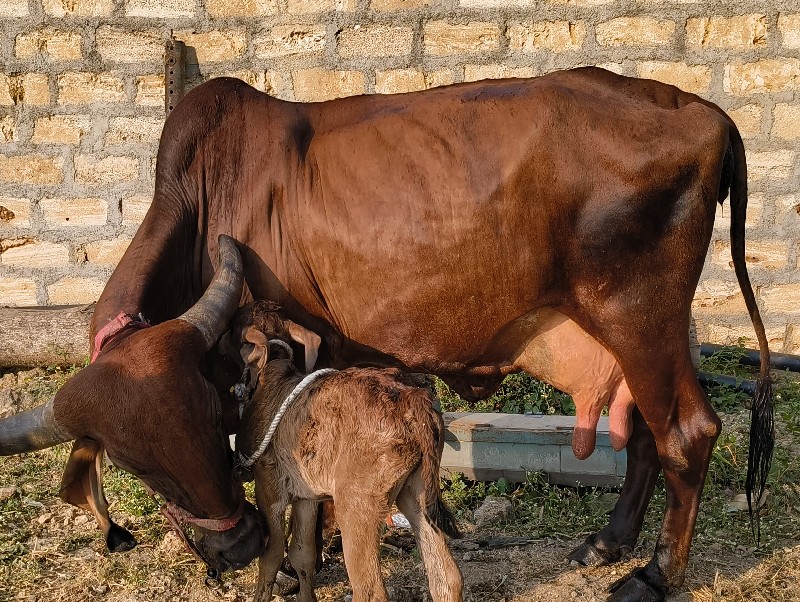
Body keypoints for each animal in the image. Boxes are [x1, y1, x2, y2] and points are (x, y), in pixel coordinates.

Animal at [0, 67, 776, 600]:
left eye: (209, 417)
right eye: (139, 462)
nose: (240, 544)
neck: (203, 202)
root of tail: (709, 116)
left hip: (640, 317)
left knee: (686, 434)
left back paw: (653, 575)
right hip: (634, 332)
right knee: (643, 431)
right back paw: (607, 544)